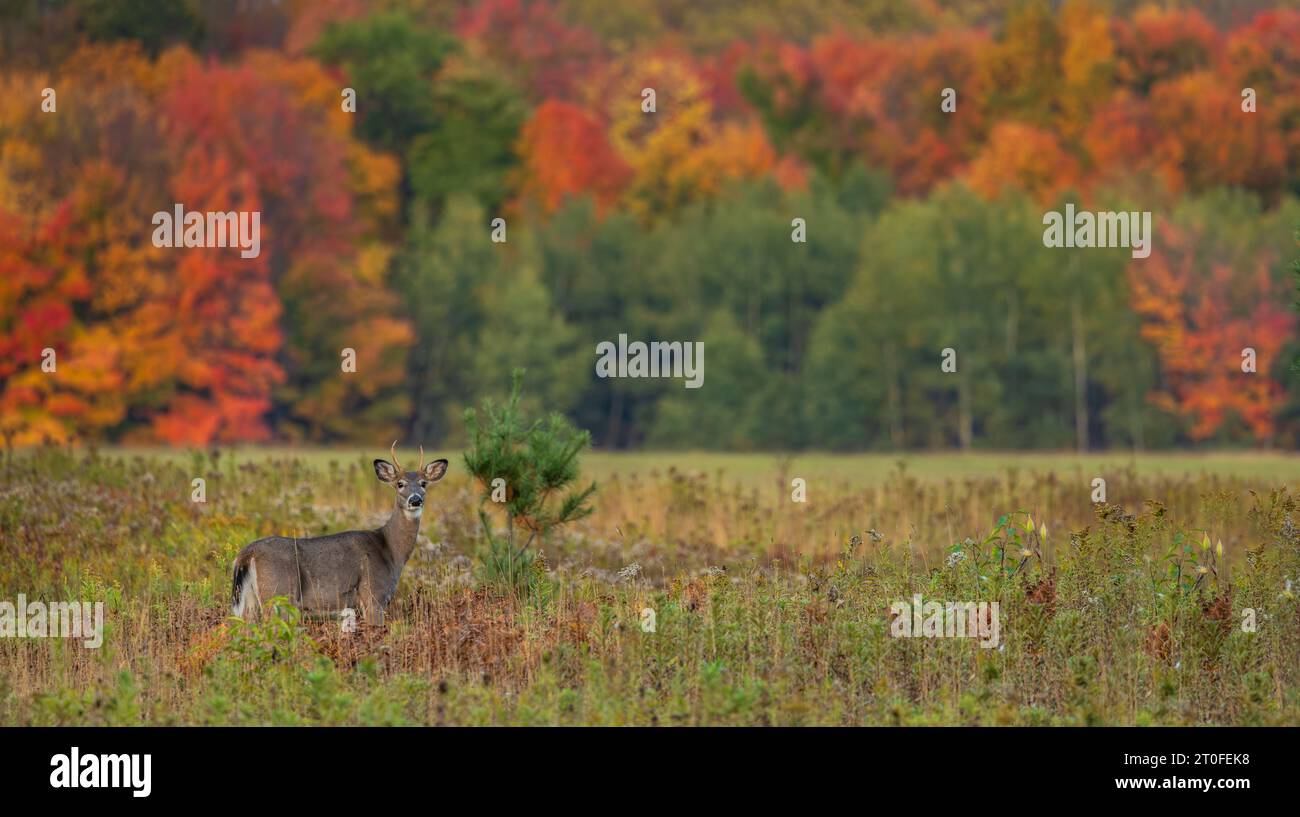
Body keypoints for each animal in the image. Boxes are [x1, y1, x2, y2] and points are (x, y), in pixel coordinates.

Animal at [233, 439, 452, 624]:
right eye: (400, 484)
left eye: (424, 483)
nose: (415, 500)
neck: (390, 550)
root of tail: (246, 554)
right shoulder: (373, 594)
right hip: (279, 593)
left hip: (249, 600)